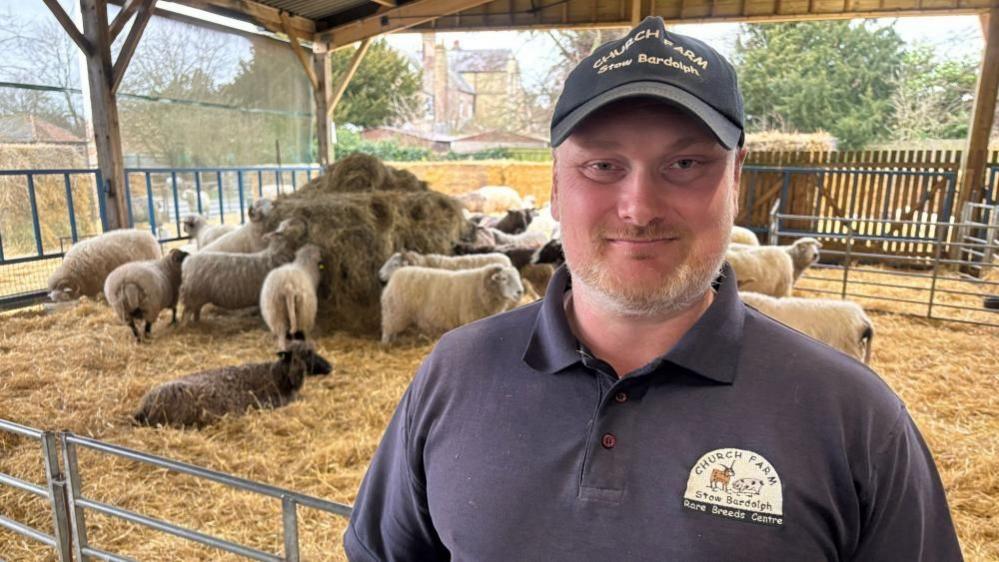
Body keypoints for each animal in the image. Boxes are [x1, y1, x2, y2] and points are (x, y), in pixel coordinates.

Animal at [378, 264, 528, 344]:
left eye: (518, 277)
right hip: (395, 312)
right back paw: (385, 345)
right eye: (504, 279)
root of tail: (395, 275)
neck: (481, 287)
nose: (520, 292)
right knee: (387, 329)